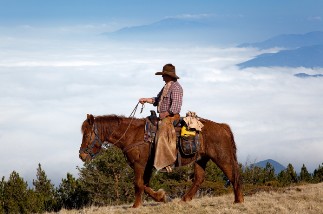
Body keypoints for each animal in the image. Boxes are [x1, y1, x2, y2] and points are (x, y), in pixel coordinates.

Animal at [79, 113, 244, 207]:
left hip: (222, 157)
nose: (82, 155)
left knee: (232, 174)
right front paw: (159, 198)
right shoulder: (146, 167)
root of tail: (222, 127)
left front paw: (139, 205)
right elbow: (144, 184)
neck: (132, 135)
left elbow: (138, 184)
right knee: (199, 179)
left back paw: (238, 200)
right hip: (201, 159)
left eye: (86, 135)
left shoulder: (139, 165)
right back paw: (185, 199)